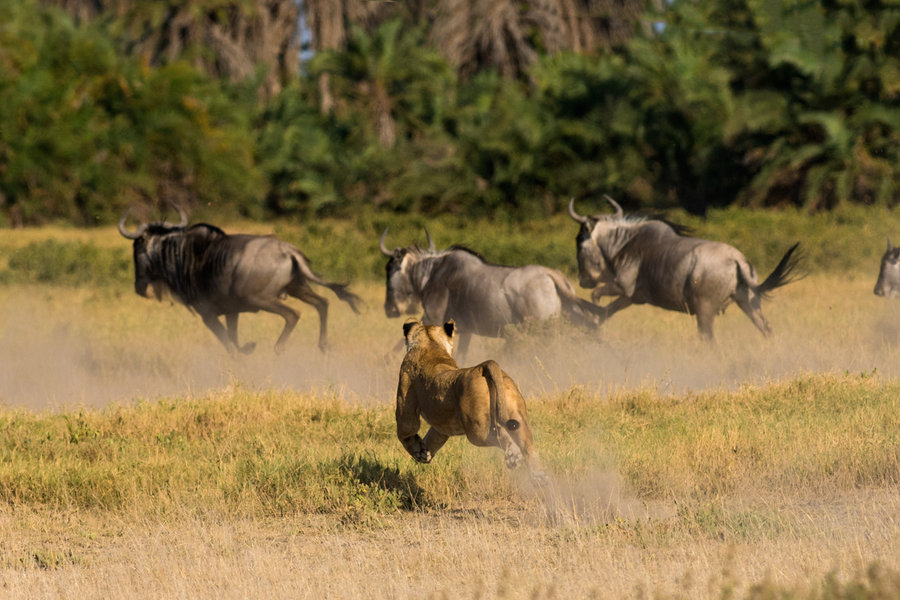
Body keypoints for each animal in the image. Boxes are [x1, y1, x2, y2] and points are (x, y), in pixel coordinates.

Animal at [398, 318, 544, 478]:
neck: (430, 343)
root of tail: (482, 367)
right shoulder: (442, 425)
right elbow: (433, 437)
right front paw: (425, 453)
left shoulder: (406, 406)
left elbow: (406, 432)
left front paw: (419, 452)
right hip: (518, 419)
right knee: (529, 450)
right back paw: (540, 477)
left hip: (478, 431)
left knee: (502, 437)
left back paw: (514, 456)